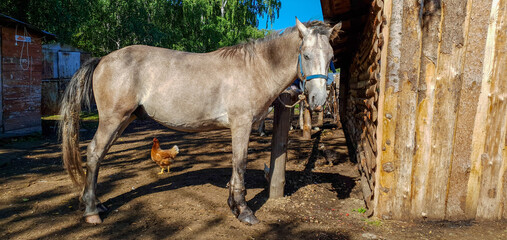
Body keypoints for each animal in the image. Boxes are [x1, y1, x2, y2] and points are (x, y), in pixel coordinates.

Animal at [61, 18, 344, 225]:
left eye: (331, 56)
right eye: (305, 55)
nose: (318, 99)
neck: (256, 68)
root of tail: (102, 59)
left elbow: (235, 165)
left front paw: (233, 204)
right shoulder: (241, 124)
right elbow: (240, 163)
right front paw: (243, 211)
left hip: (122, 120)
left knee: (98, 156)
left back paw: (95, 203)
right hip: (113, 119)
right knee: (94, 153)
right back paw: (91, 211)